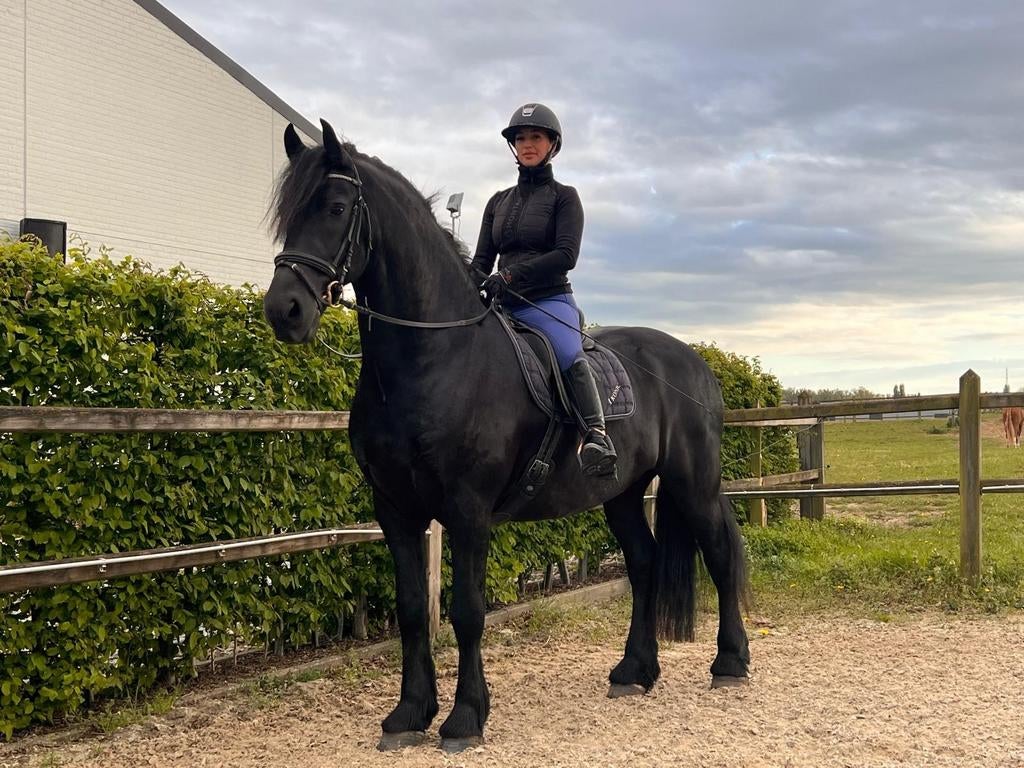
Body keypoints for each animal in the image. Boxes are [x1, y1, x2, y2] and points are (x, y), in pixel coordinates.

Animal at [262, 119, 750, 752]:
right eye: (286, 213)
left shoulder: (467, 511)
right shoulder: (396, 509)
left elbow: (467, 612)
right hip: (620, 491)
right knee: (643, 563)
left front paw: (465, 717)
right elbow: (413, 609)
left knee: (720, 553)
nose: (285, 310)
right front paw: (408, 714)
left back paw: (730, 664)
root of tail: (694, 362)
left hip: (694, 484)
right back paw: (633, 671)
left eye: (337, 208)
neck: (435, 357)